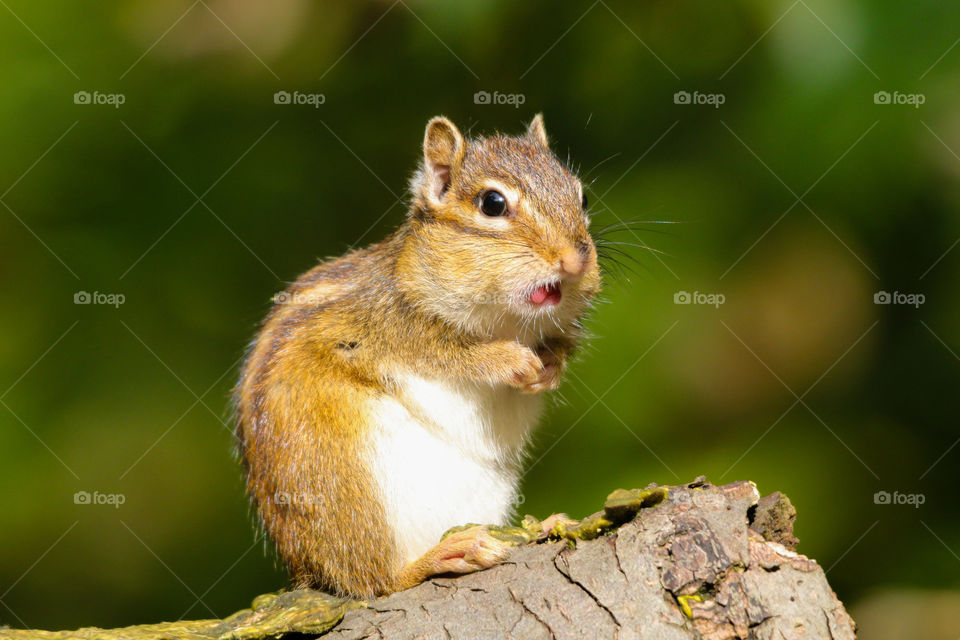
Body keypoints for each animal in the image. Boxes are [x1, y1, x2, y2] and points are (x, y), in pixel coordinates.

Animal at [234, 114, 600, 598]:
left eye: (582, 195)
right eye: (492, 203)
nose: (576, 261)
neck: (506, 323)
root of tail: (306, 570)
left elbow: (560, 346)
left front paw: (550, 367)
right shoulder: (382, 326)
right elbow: (444, 352)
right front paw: (510, 361)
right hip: (346, 484)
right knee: (375, 579)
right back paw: (442, 556)